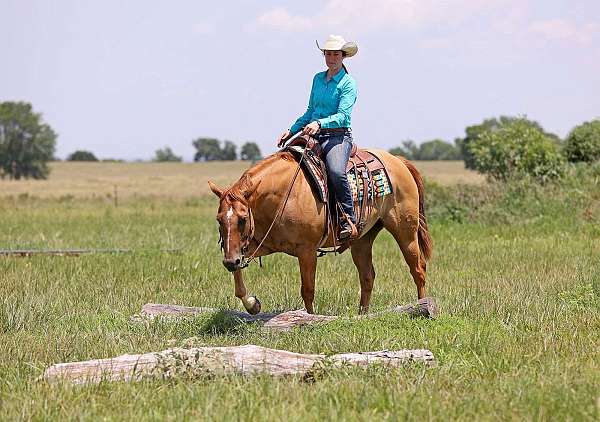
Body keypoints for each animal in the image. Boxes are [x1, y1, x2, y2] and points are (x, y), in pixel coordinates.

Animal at [209, 147, 434, 314]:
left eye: (243, 219)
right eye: (219, 220)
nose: (228, 261)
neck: (284, 194)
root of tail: (398, 161)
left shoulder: (307, 251)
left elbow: (308, 289)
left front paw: (308, 319)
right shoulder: (257, 244)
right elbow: (239, 281)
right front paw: (253, 305)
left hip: (405, 232)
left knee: (418, 269)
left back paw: (422, 307)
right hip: (362, 240)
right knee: (367, 276)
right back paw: (362, 314)